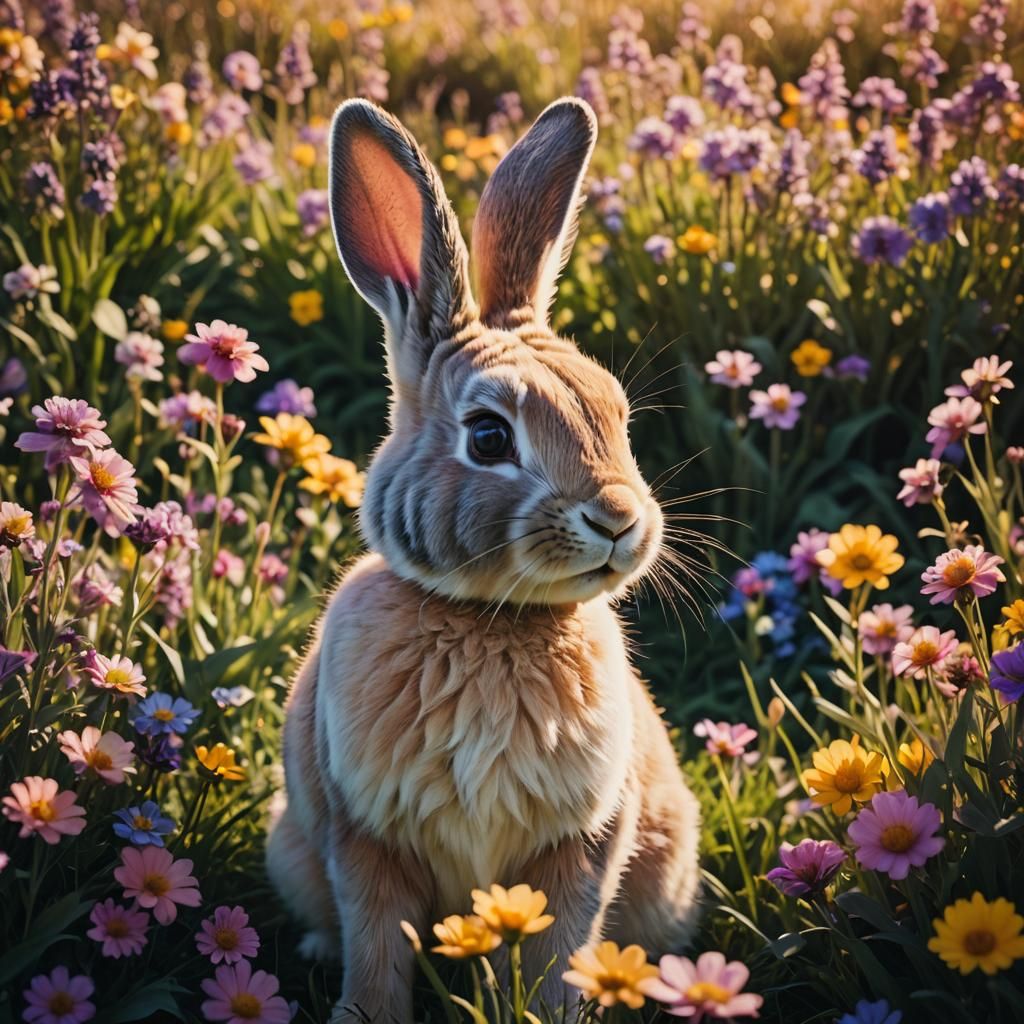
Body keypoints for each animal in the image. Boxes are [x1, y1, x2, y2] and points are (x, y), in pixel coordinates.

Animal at [265, 96, 701, 1024]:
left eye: (616, 416)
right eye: (490, 437)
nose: (621, 520)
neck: (488, 619)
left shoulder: (583, 841)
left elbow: (558, 951)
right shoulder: (365, 838)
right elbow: (377, 948)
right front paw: (364, 1015)